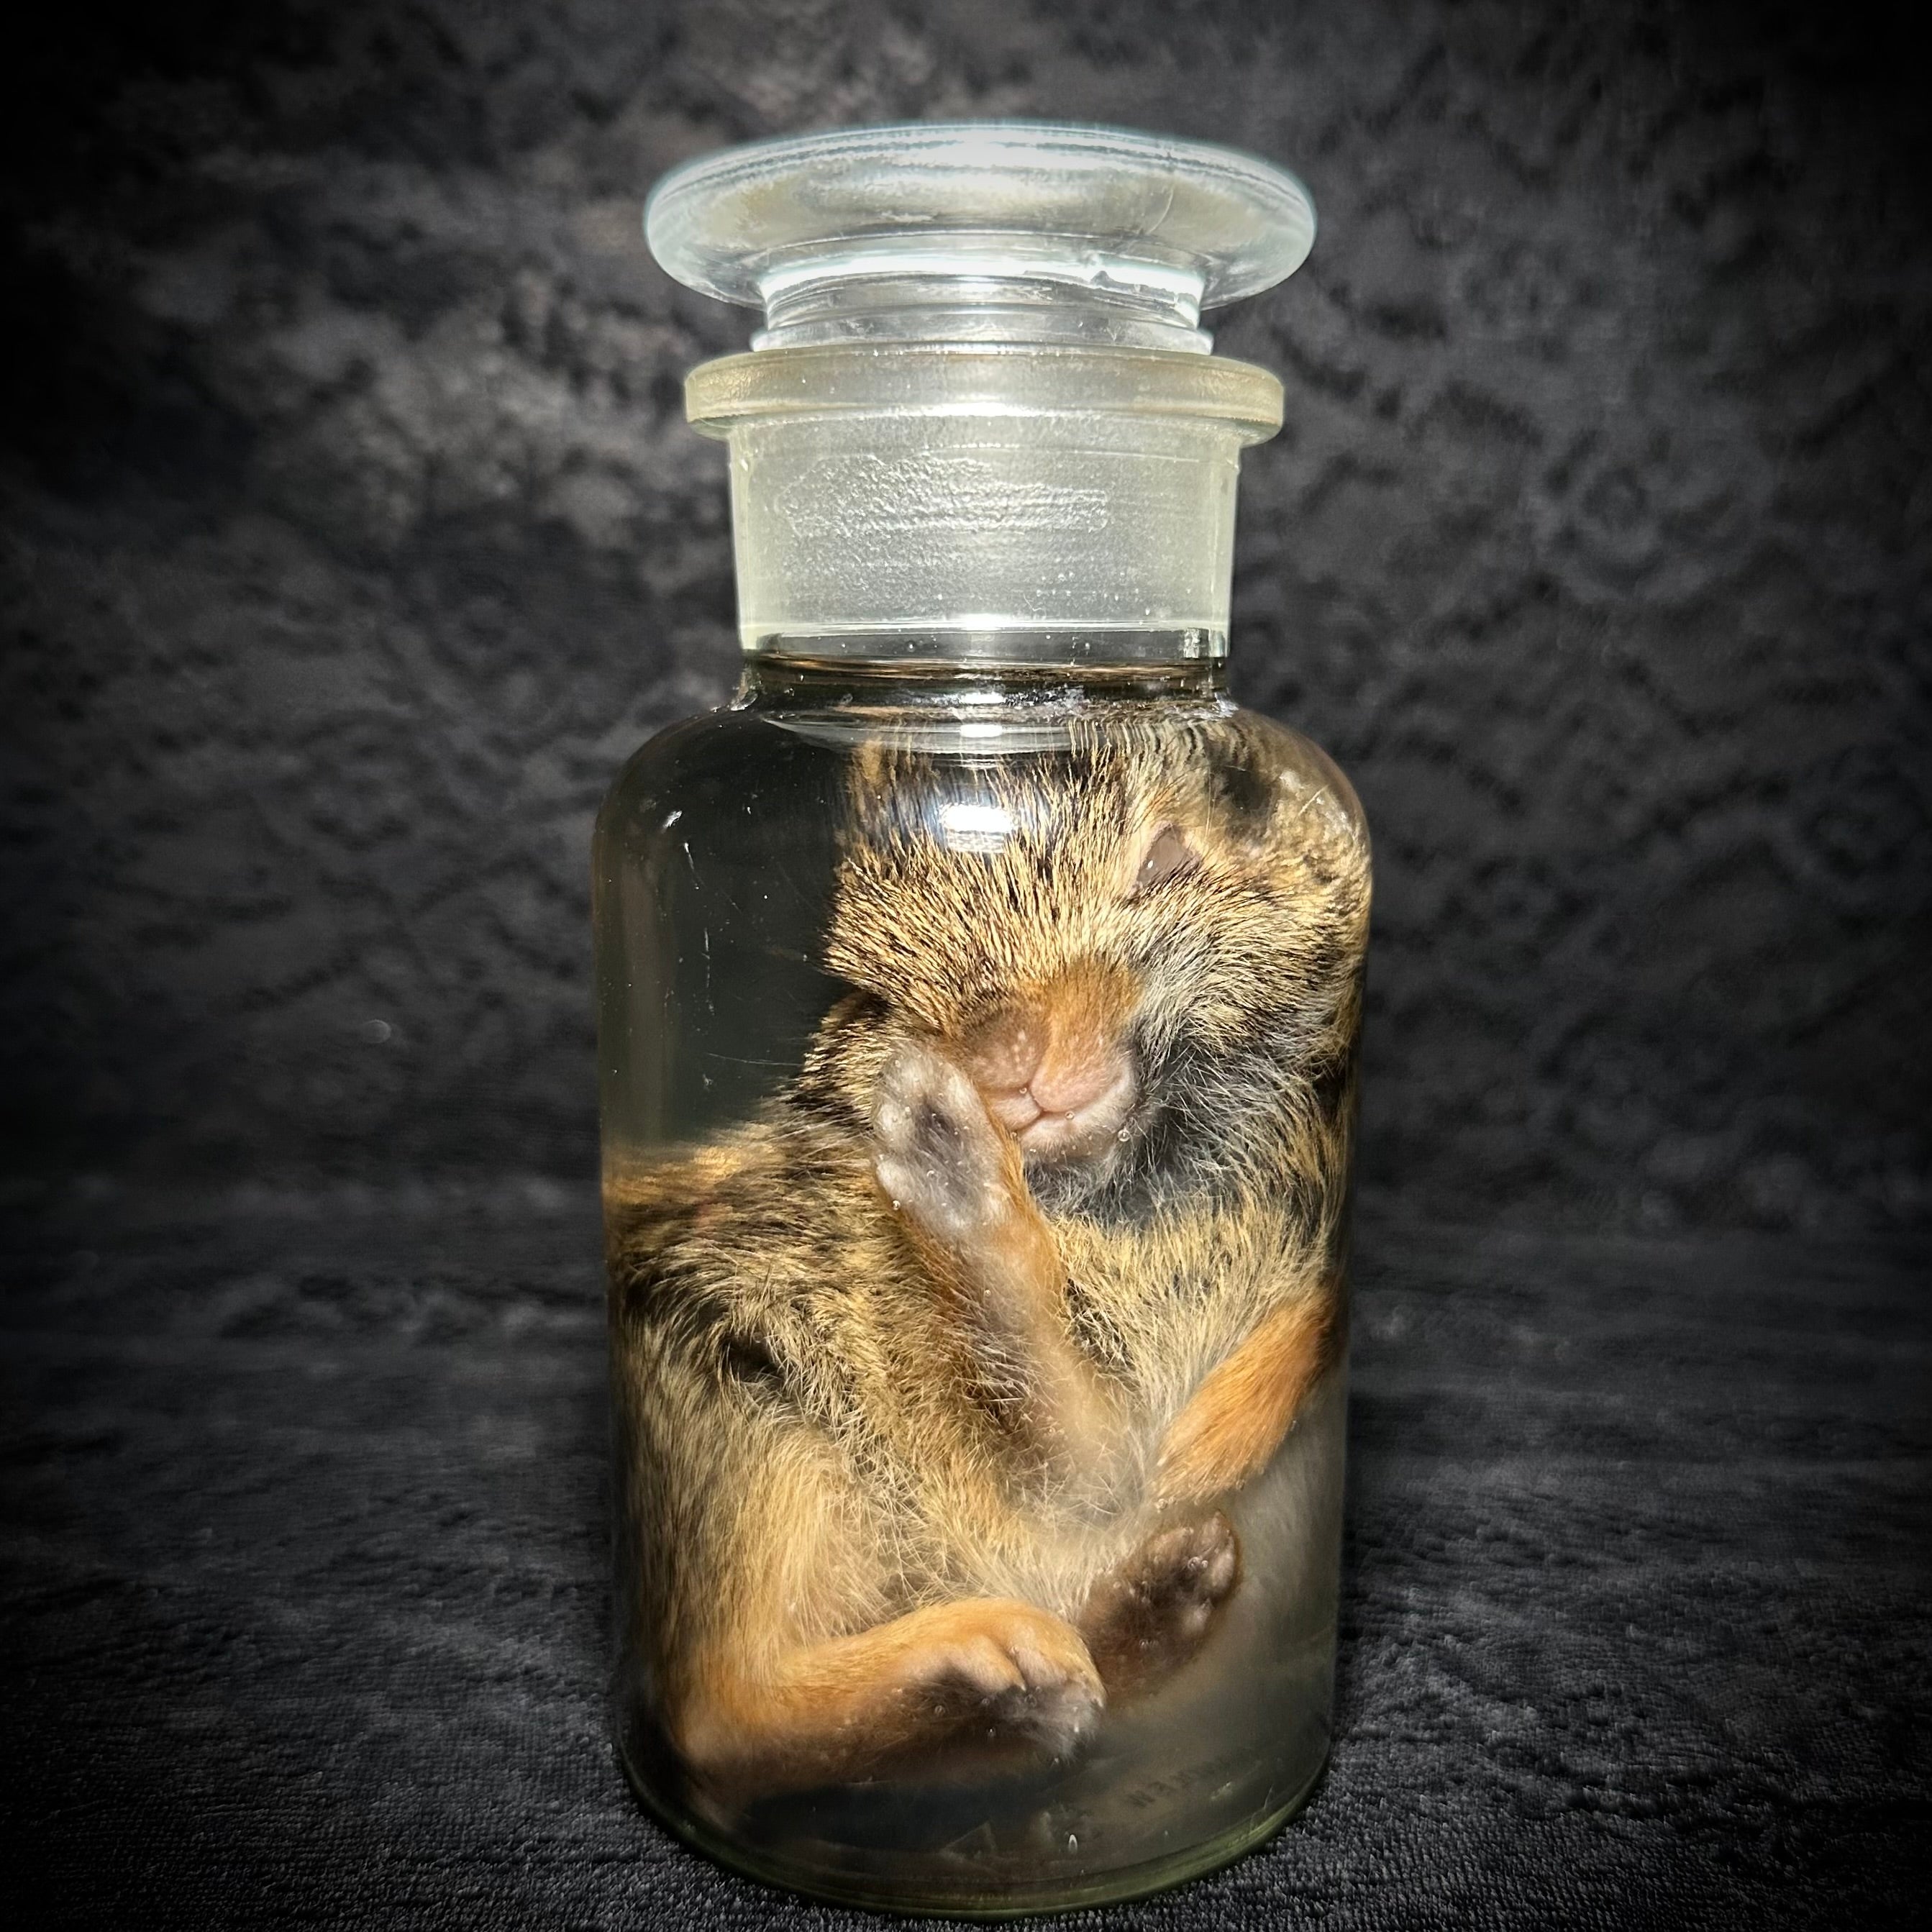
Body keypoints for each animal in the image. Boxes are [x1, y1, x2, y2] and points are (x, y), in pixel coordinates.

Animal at [604, 705, 1370, 1808]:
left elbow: (1312, 1320)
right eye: (866, 991)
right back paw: (997, 1658)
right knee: (718, 1714)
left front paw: (1213, 1437)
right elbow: (1083, 1434)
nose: (1004, 1061)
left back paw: (1144, 1598)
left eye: (1168, 859)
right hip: (748, 1399)